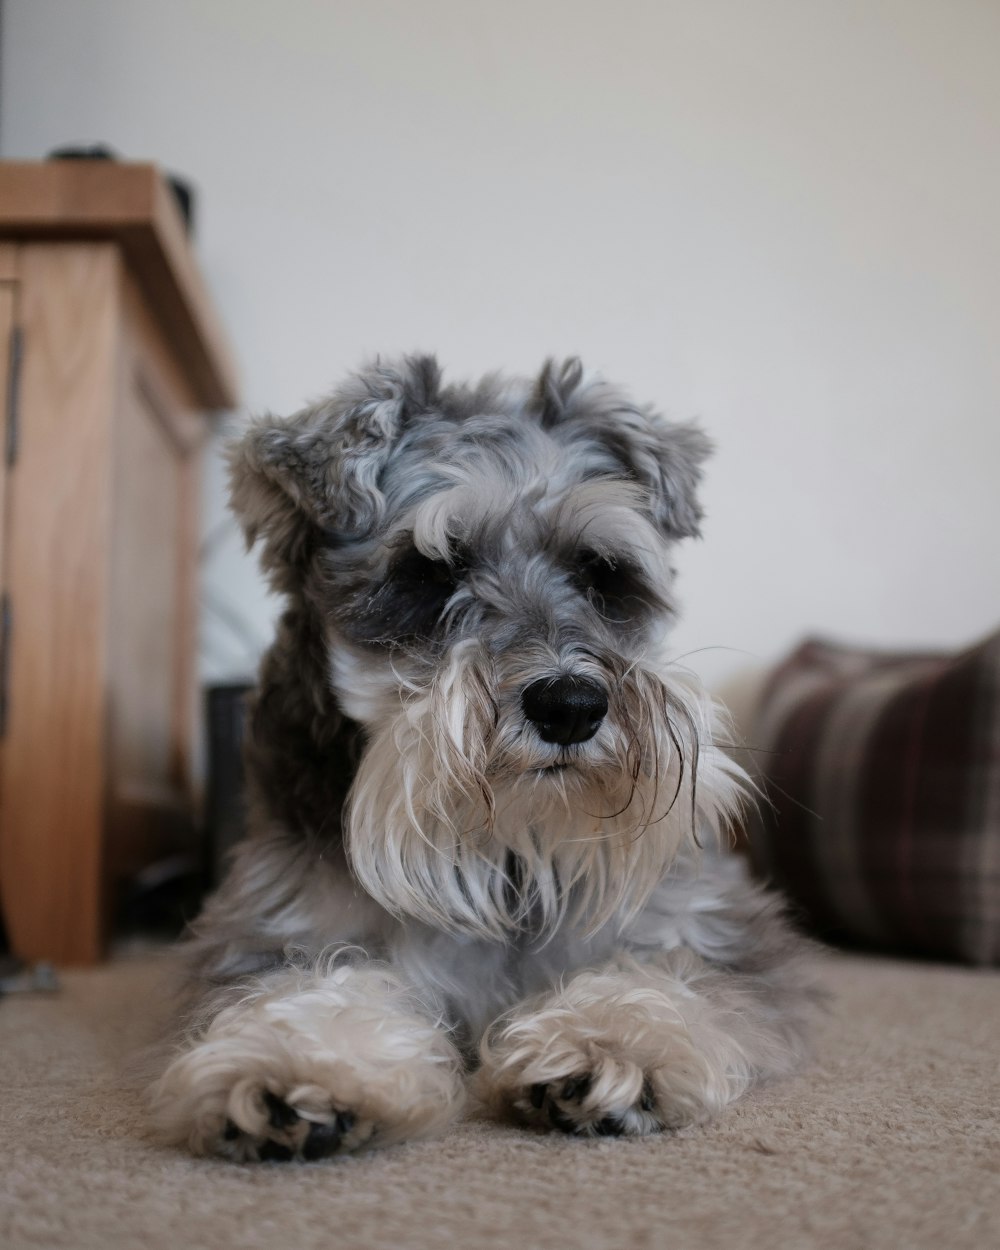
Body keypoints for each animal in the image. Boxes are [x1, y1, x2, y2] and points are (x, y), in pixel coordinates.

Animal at [150, 355, 820, 1160]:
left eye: (602, 573)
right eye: (428, 572)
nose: (571, 705)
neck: (510, 852)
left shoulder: (706, 931)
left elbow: (677, 979)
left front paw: (609, 1045)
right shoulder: (279, 926)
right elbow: (296, 986)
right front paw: (298, 1067)